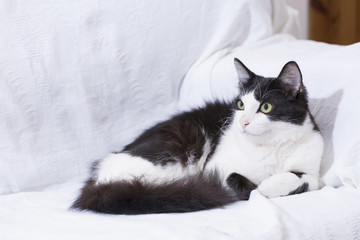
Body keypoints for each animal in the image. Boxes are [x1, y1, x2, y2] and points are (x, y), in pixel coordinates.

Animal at [71, 59, 324, 215]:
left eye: (266, 107)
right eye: (241, 105)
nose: (242, 122)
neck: (269, 146)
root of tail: (98, 175)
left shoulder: (313, 170)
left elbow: (304, 180)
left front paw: (271, 184)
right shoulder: (217, 167)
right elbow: (240, 182)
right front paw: (260, 187)